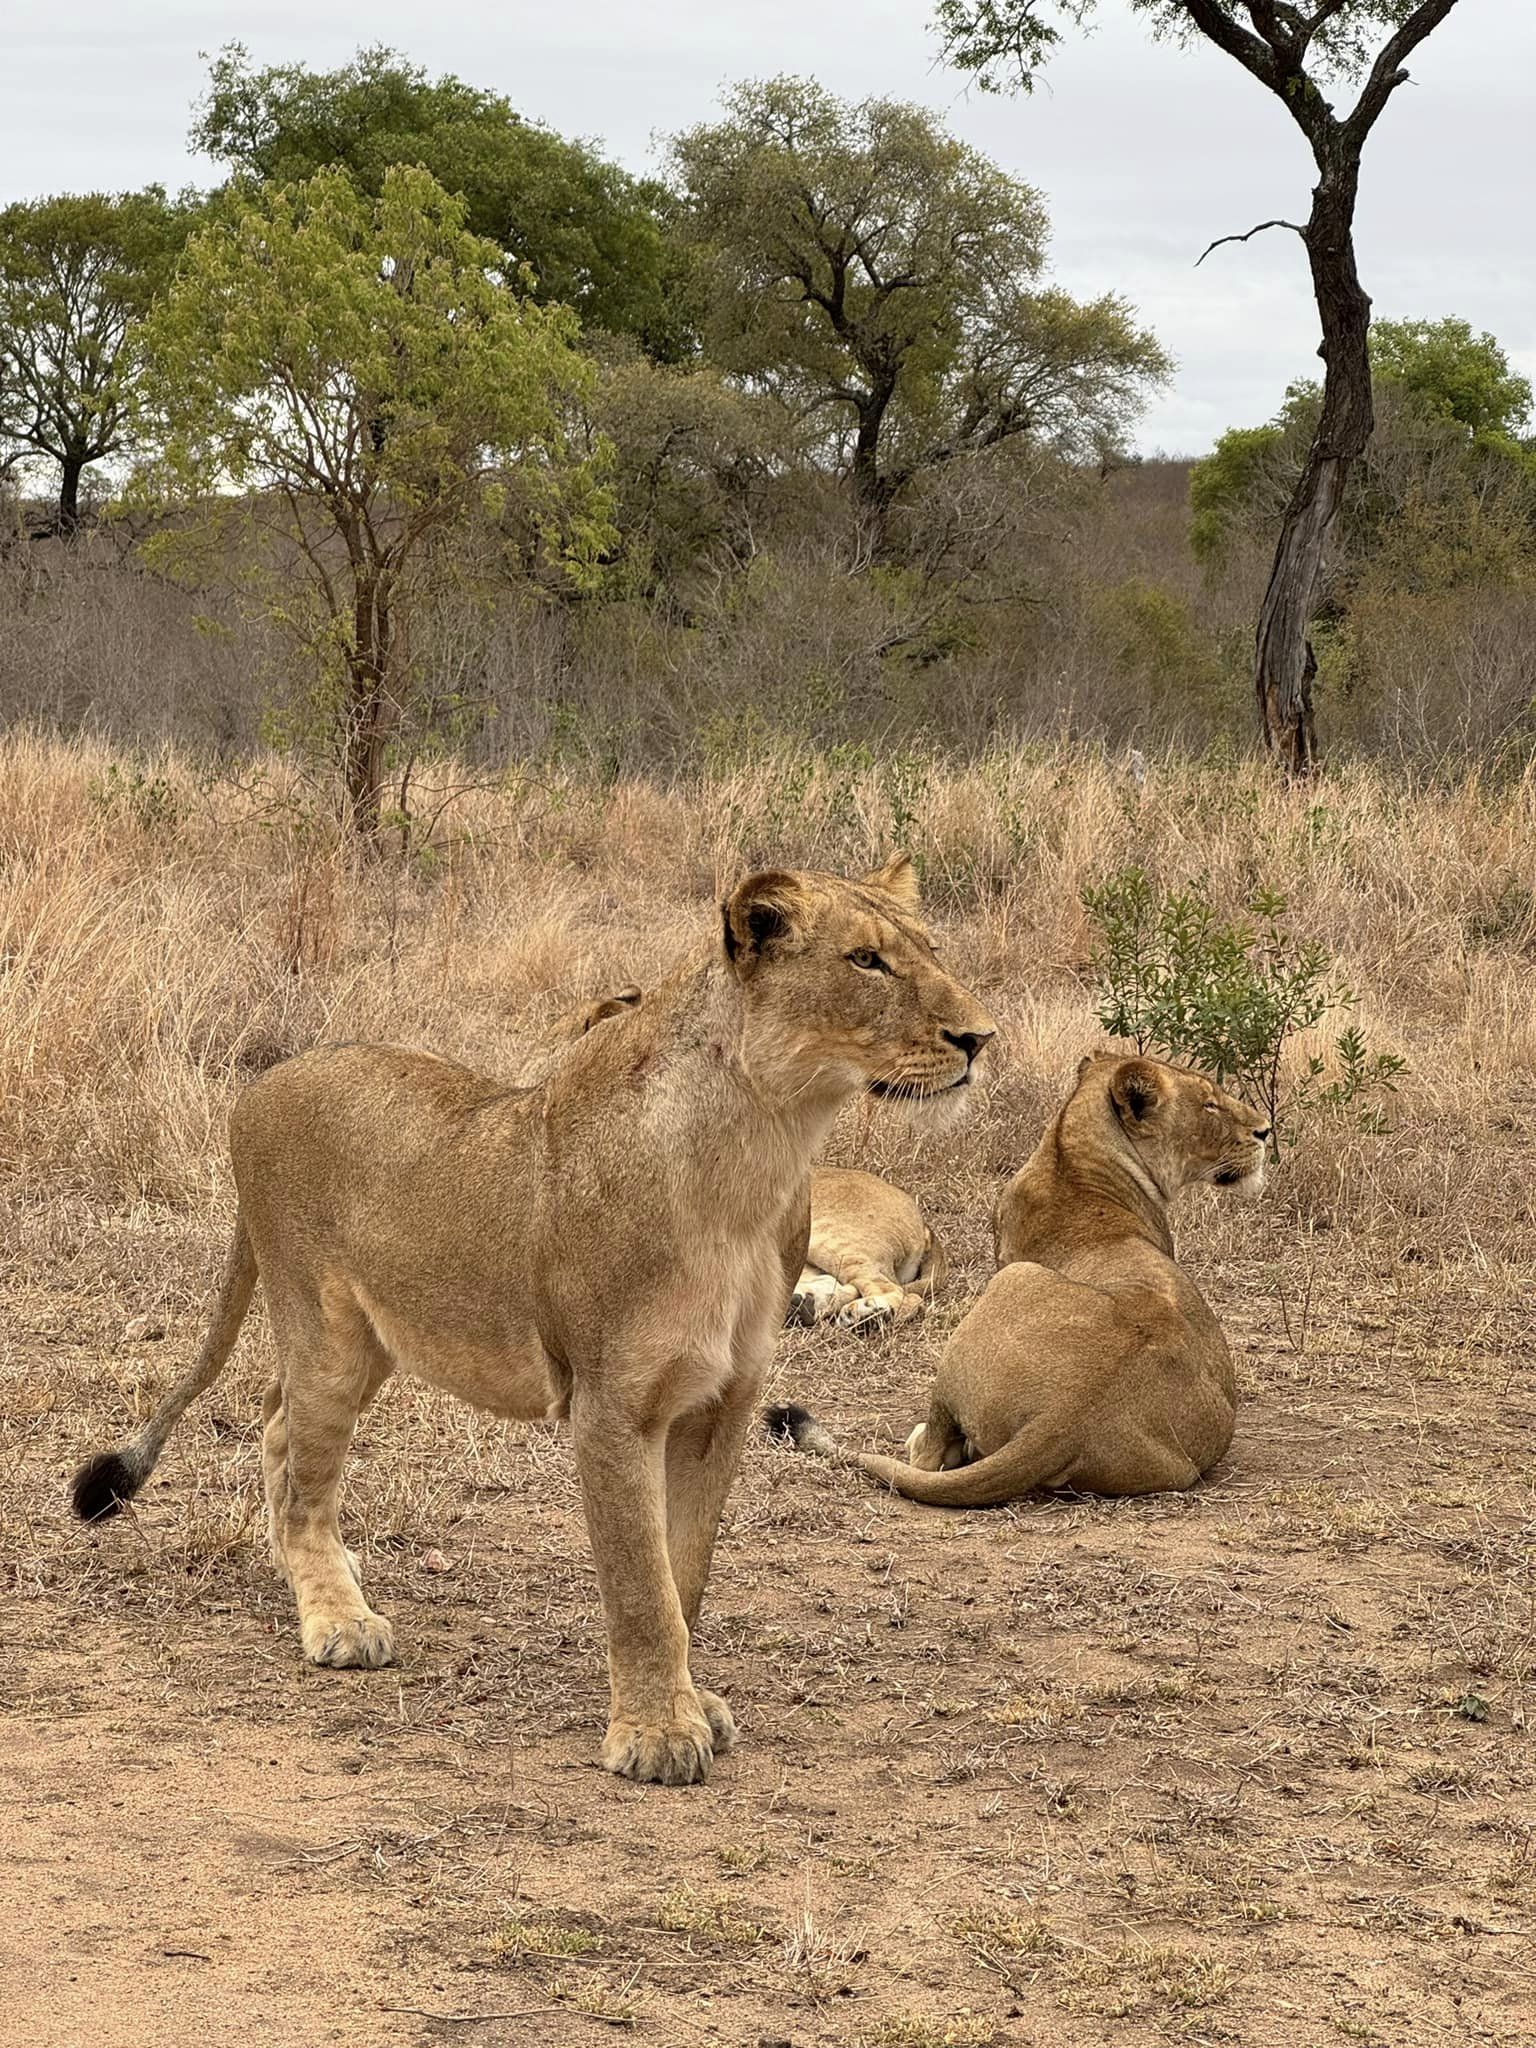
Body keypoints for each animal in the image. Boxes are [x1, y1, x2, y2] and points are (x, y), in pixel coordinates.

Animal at [71, 856, 995, 1785]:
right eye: (866, 961)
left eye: (928, 950)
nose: (980, 1038)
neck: (763, 1151)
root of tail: (262, 1083)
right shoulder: (610, 1405)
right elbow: (640, 1582)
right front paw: (657, 1735)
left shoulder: (723, 1403)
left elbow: (685, 1570)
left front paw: (692, 1704)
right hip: (324, 1328)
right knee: (304, 1468)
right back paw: (338, 1617)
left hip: (377, 1335)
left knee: (275, 1425)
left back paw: (316, 1572)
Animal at [767, 1052, 1269, 1507]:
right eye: (1209, 1104)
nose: (1265, 1131)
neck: (1071, 1162)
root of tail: (1067, 1416)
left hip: (1000, 1278)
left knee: (926, 1446)